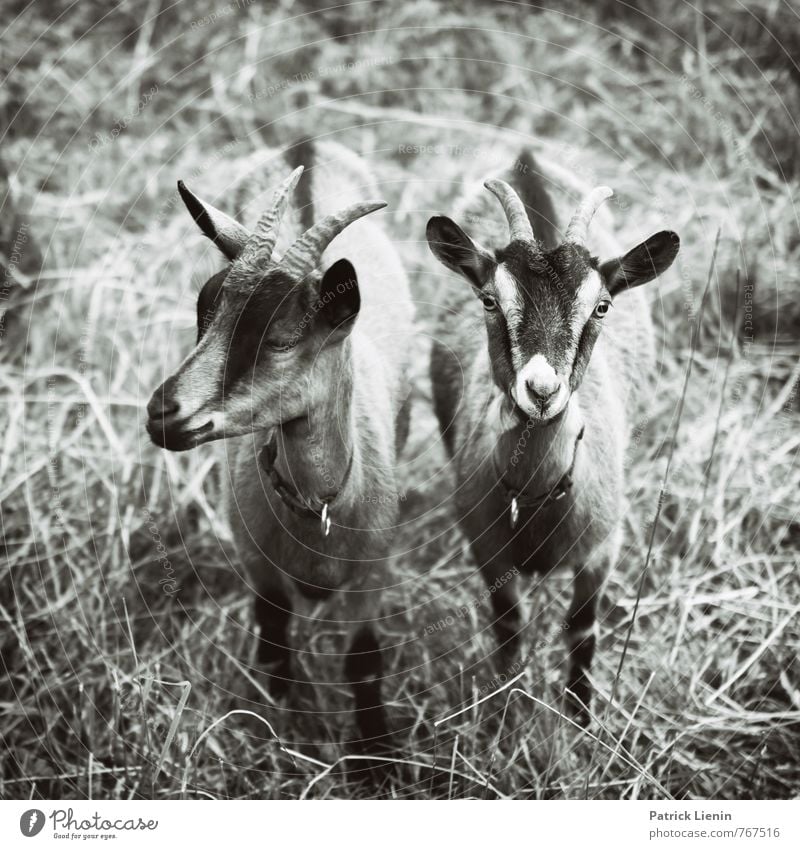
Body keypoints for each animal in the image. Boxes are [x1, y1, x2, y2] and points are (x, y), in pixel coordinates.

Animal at [146, 142, 416, 752]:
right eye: (204, 313)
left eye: (283, 339)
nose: (162, 414)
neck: (322, 507)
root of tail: (309, 145)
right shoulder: (256, 562)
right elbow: (273, 643)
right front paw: (278, 731)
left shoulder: (372, 575)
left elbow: (363, 661)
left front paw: (377, 756)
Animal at [428, 149, 680, 720]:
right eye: (489, 301)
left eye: (602, 306)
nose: (542, 390)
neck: (538, 498)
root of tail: (527, 159)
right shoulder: (486, 549)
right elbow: (508, 625)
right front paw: (504, 707)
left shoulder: (602, 550)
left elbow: (582, 628)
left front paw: (579, 715)